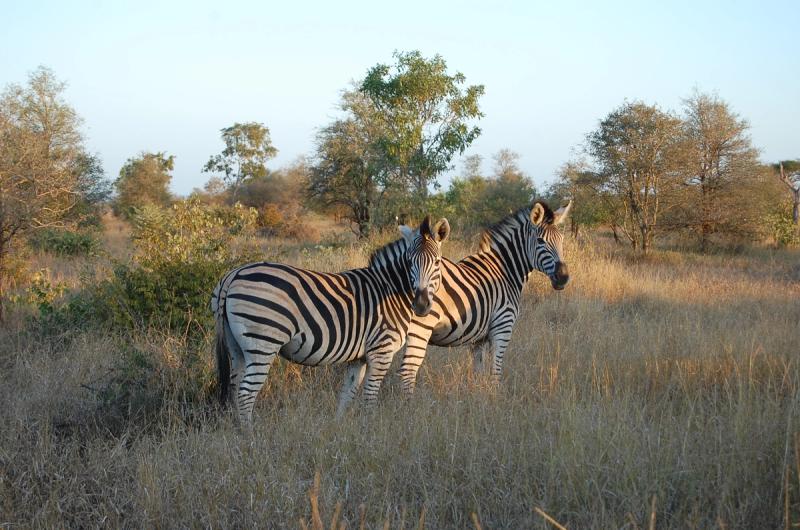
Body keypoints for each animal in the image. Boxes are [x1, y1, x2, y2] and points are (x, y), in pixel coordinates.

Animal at [211, 215, 451, 423]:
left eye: (437, 262)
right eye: (409, 262)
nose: (421, 305)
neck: (390, 288)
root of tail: (232, 275)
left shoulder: (359, 357)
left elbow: (347, 394)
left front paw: (340, 427)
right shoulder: (381, 350)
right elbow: (370, 397)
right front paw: (369, 428)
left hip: (236, 346)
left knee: (234, 388)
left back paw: (236, 431)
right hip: (263, 342)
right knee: (245, 394)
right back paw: (249, 437)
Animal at [397, 200, 571, 392]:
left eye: (562, 240)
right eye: (540, 241)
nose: (563, 277)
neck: (505, 270)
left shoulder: (478, 338)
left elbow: (478, 372)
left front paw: (477, 395)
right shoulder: (502, 326)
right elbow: (495, 372)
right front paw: (494, 397)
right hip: (421, 327)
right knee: (407, 371)